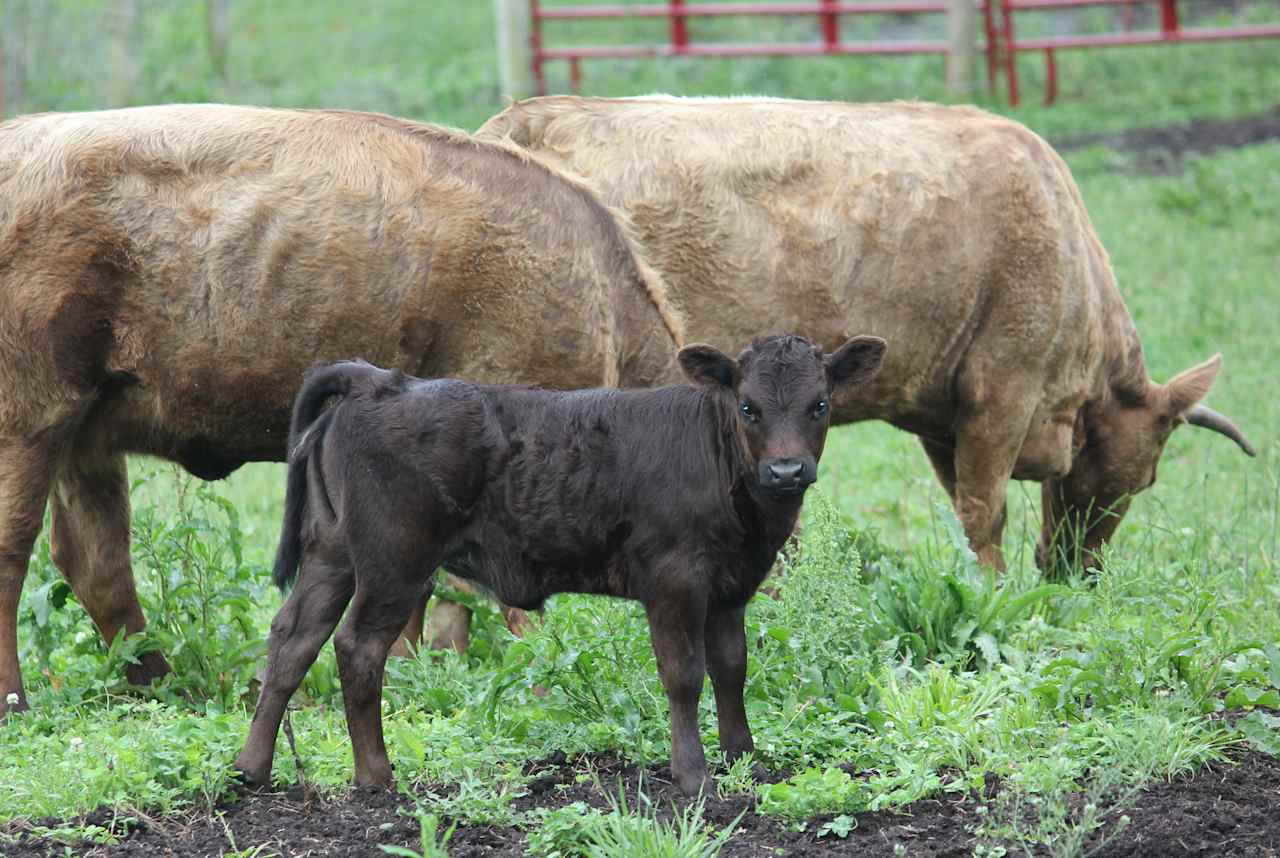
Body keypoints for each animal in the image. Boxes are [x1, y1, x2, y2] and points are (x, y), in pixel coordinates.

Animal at [0, 102, 686, 717]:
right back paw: (19, 703)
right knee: (18, 547)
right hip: (32, 419)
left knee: (96, 562)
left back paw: (167, 687)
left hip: (84, 436)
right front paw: (528, 679)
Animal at [235, 335, 885, 793]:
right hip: (395, 559)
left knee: (293, 639)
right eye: (748, 407)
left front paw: (743, 756)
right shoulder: (674, 580)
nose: (786, 470)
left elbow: (731, 667)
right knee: (358, 648)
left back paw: (251, 769)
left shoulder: (730, 587)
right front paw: (694, 776)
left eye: (820, 404)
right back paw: (375, 776)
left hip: (332, 554)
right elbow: (684, 674)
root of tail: (381, 380)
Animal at [476, 92, 1254, 578]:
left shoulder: (943, 413)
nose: (1074, 573)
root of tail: (517, 123)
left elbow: (966, 510)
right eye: (1146, 477)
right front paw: (998, 591)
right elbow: (986, 513)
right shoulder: (1003, 387)